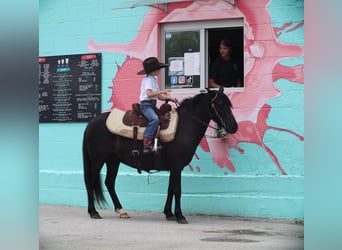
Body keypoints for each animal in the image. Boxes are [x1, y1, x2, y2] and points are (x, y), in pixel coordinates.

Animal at [83, 87, 238, 224]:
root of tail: (91, 123)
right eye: (219, 103)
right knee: (91, 181)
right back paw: (93, 212)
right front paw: (180, 216)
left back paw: (121, 211)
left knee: (109, 182)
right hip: (98, 160)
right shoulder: (177, 166)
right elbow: (177, 190)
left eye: (229, 104)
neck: (184, 127)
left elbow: (170, 189)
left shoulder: (174, 168)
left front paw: (169, 213)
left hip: (113, 161)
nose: (233, 127)